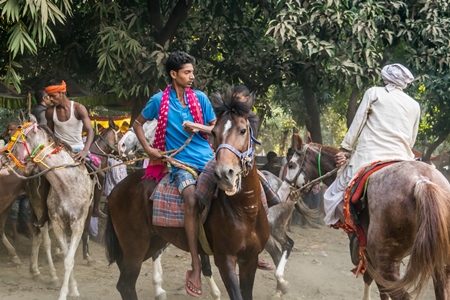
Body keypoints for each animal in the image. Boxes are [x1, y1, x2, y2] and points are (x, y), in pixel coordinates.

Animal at [6, 121, 94, 300]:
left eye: (15, 139)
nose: (3, 156)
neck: (67, 184)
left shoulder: (78, 223)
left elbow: (69, 257)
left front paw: (72, 290)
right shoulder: (57, 222)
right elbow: (67, 256)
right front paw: (68, 290)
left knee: (39, 237)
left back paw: (36, 271)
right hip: (39, 209)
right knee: (43, 240)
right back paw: (49, 275)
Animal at [103, 89, 268, 300]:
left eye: (242, 130)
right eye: (214, 133)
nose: (225, 174)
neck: (245, 211)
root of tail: (116, 191)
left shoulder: (250, 259)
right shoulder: (225, 260)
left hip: (153, 241)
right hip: (135, 245)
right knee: (125, 285)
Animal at [280, 135, 450, 298]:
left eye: (291, 165)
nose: (283, 191)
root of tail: (421, 181)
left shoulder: (369, 254)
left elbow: (373, 282)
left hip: (384, 260)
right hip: (440, 262)